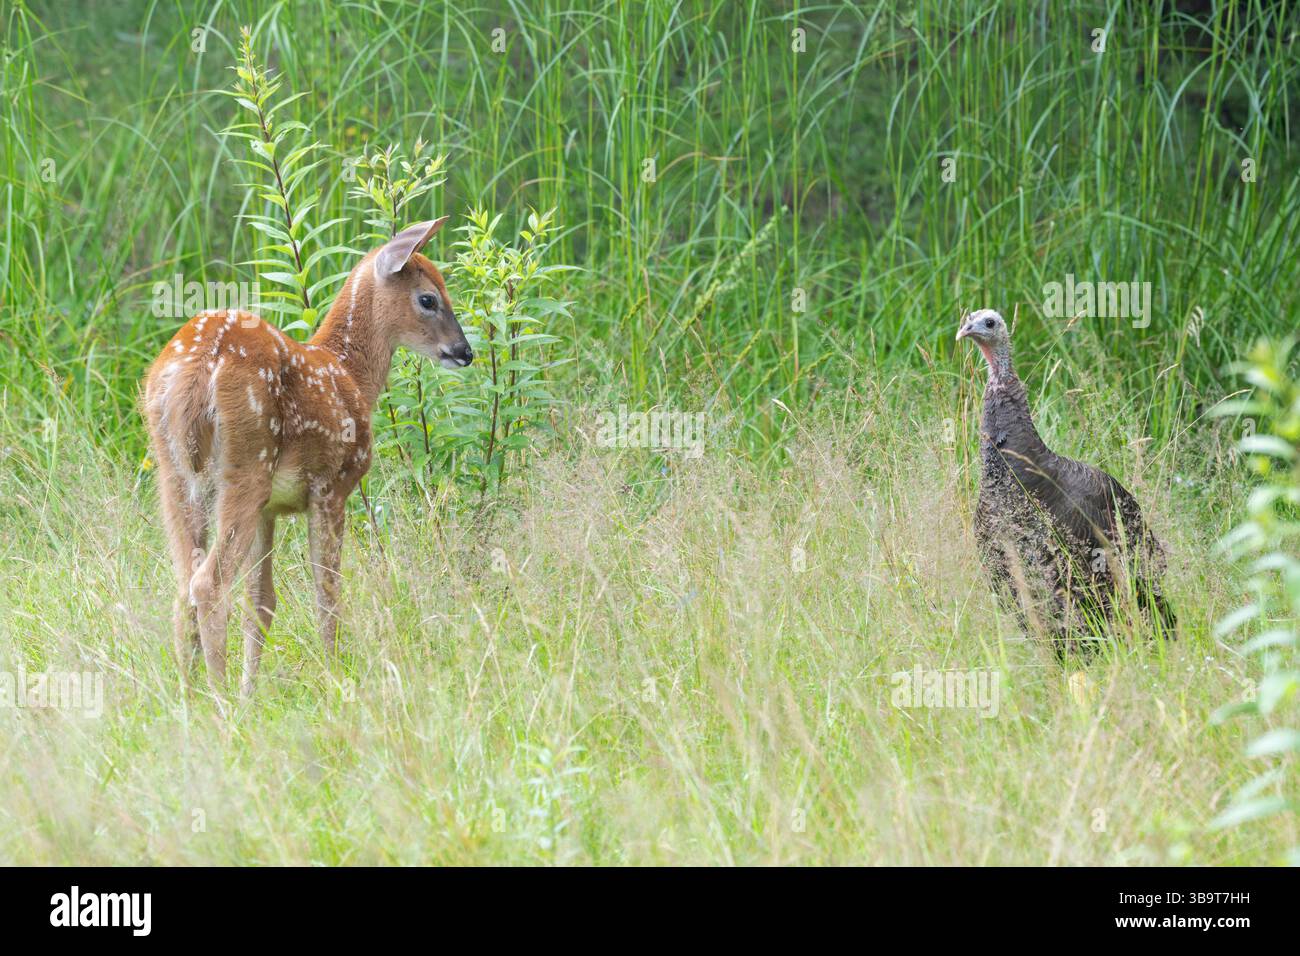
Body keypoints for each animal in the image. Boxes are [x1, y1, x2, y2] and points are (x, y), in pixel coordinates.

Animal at [141, 219, 471, 701]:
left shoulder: (270, 509)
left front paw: (251, 693)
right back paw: (218, 700)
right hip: (246, 464)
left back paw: (187, 695)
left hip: (176, 475)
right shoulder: (333, 485)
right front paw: (334, 677)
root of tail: (194, 370)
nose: (465, 351)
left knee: (184, 583)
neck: (349, 375)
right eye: (429, 298)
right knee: (207, 583)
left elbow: (261, 600)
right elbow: (327, 592)